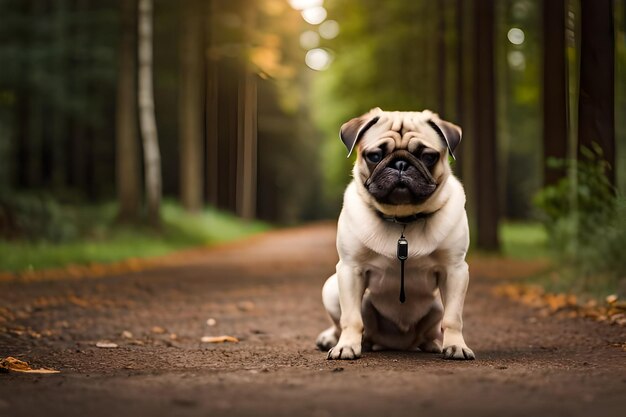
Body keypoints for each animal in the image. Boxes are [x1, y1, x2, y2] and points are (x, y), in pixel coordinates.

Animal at [314, 109, 470, 360]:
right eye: (375, 156)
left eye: (428, 157)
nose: (401, 163)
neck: (402, 219)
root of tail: (396, 344)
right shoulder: (350, 269)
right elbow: (351, 318)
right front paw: (346, 346)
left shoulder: (454, 271)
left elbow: (453, 318)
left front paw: (456, 346)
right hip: (331, 288)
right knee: (342, 324)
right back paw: (338, 339)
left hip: (435, 306)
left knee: (430, 330)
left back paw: (432, 344)